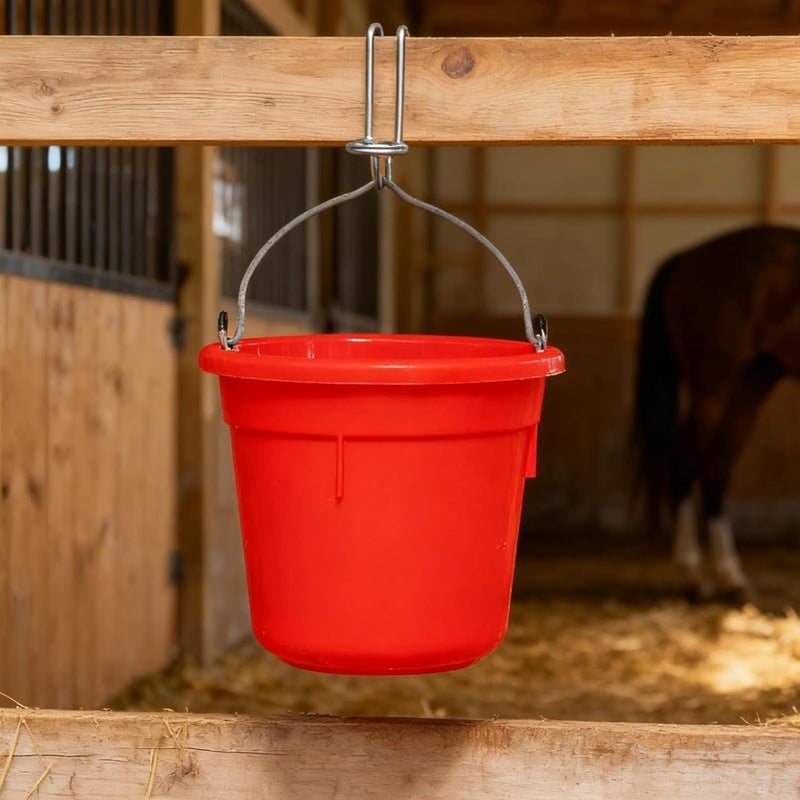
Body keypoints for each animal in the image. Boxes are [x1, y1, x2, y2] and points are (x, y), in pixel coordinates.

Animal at [633, 225, 800, 602]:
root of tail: (687, 257)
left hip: (752, 381)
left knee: (717, 466)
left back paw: (730, 575)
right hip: (715, 383)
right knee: (684, 458)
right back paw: (694, 573)